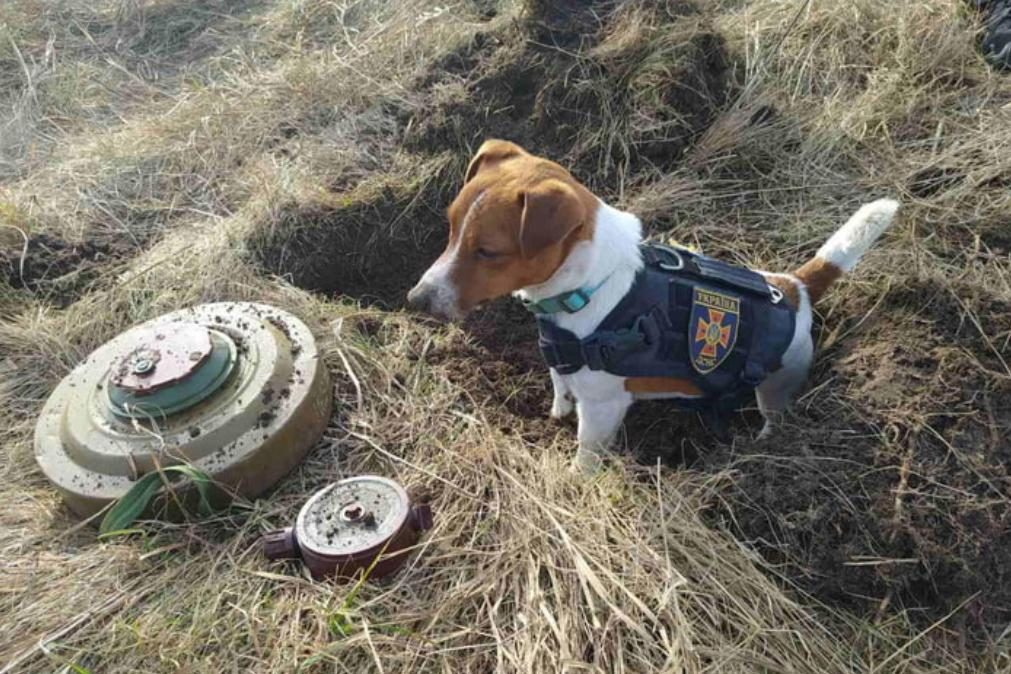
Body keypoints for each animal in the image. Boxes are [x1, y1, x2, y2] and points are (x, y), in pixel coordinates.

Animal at [406, 139, 897, 472]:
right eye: (450, 227)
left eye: (488, 252)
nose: (415, 299)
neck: (589, 285)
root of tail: (794, 287)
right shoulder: (562, 363)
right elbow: (560, 388)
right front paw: (556, 413)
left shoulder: (602, 408)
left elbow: (586, 452)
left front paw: (575, 477)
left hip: (778, 385)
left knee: (775, 416)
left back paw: (763, 444)